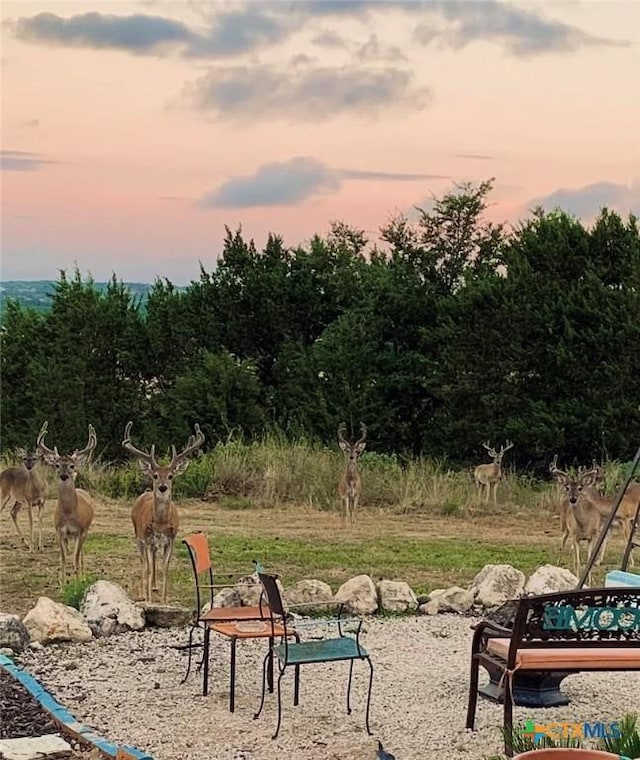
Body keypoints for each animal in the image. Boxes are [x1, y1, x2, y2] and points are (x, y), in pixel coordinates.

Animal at [35, 422, 97, 580]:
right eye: (57, 465)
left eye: (71, 465)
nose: (64, 476)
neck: (69, 514)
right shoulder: (59, 531)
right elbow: (63, 559)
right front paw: (62, 584)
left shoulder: (80, 531)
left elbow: (75, 558)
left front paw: (77, 581)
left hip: (85, 531)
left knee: (81, 555)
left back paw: (83, 575)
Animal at [122, 418, 205, 604]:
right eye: (154, 475)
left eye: (170, 476)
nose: (162, 487)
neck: (160, 523)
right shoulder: (146, 538)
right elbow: (147, 567)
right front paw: (148, 599)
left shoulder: (171, 539)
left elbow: (165, 567)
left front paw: (164, 600)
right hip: (138, 535)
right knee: (143, 562)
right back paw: (144, 592)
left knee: (153, 559)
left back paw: (154, 586)